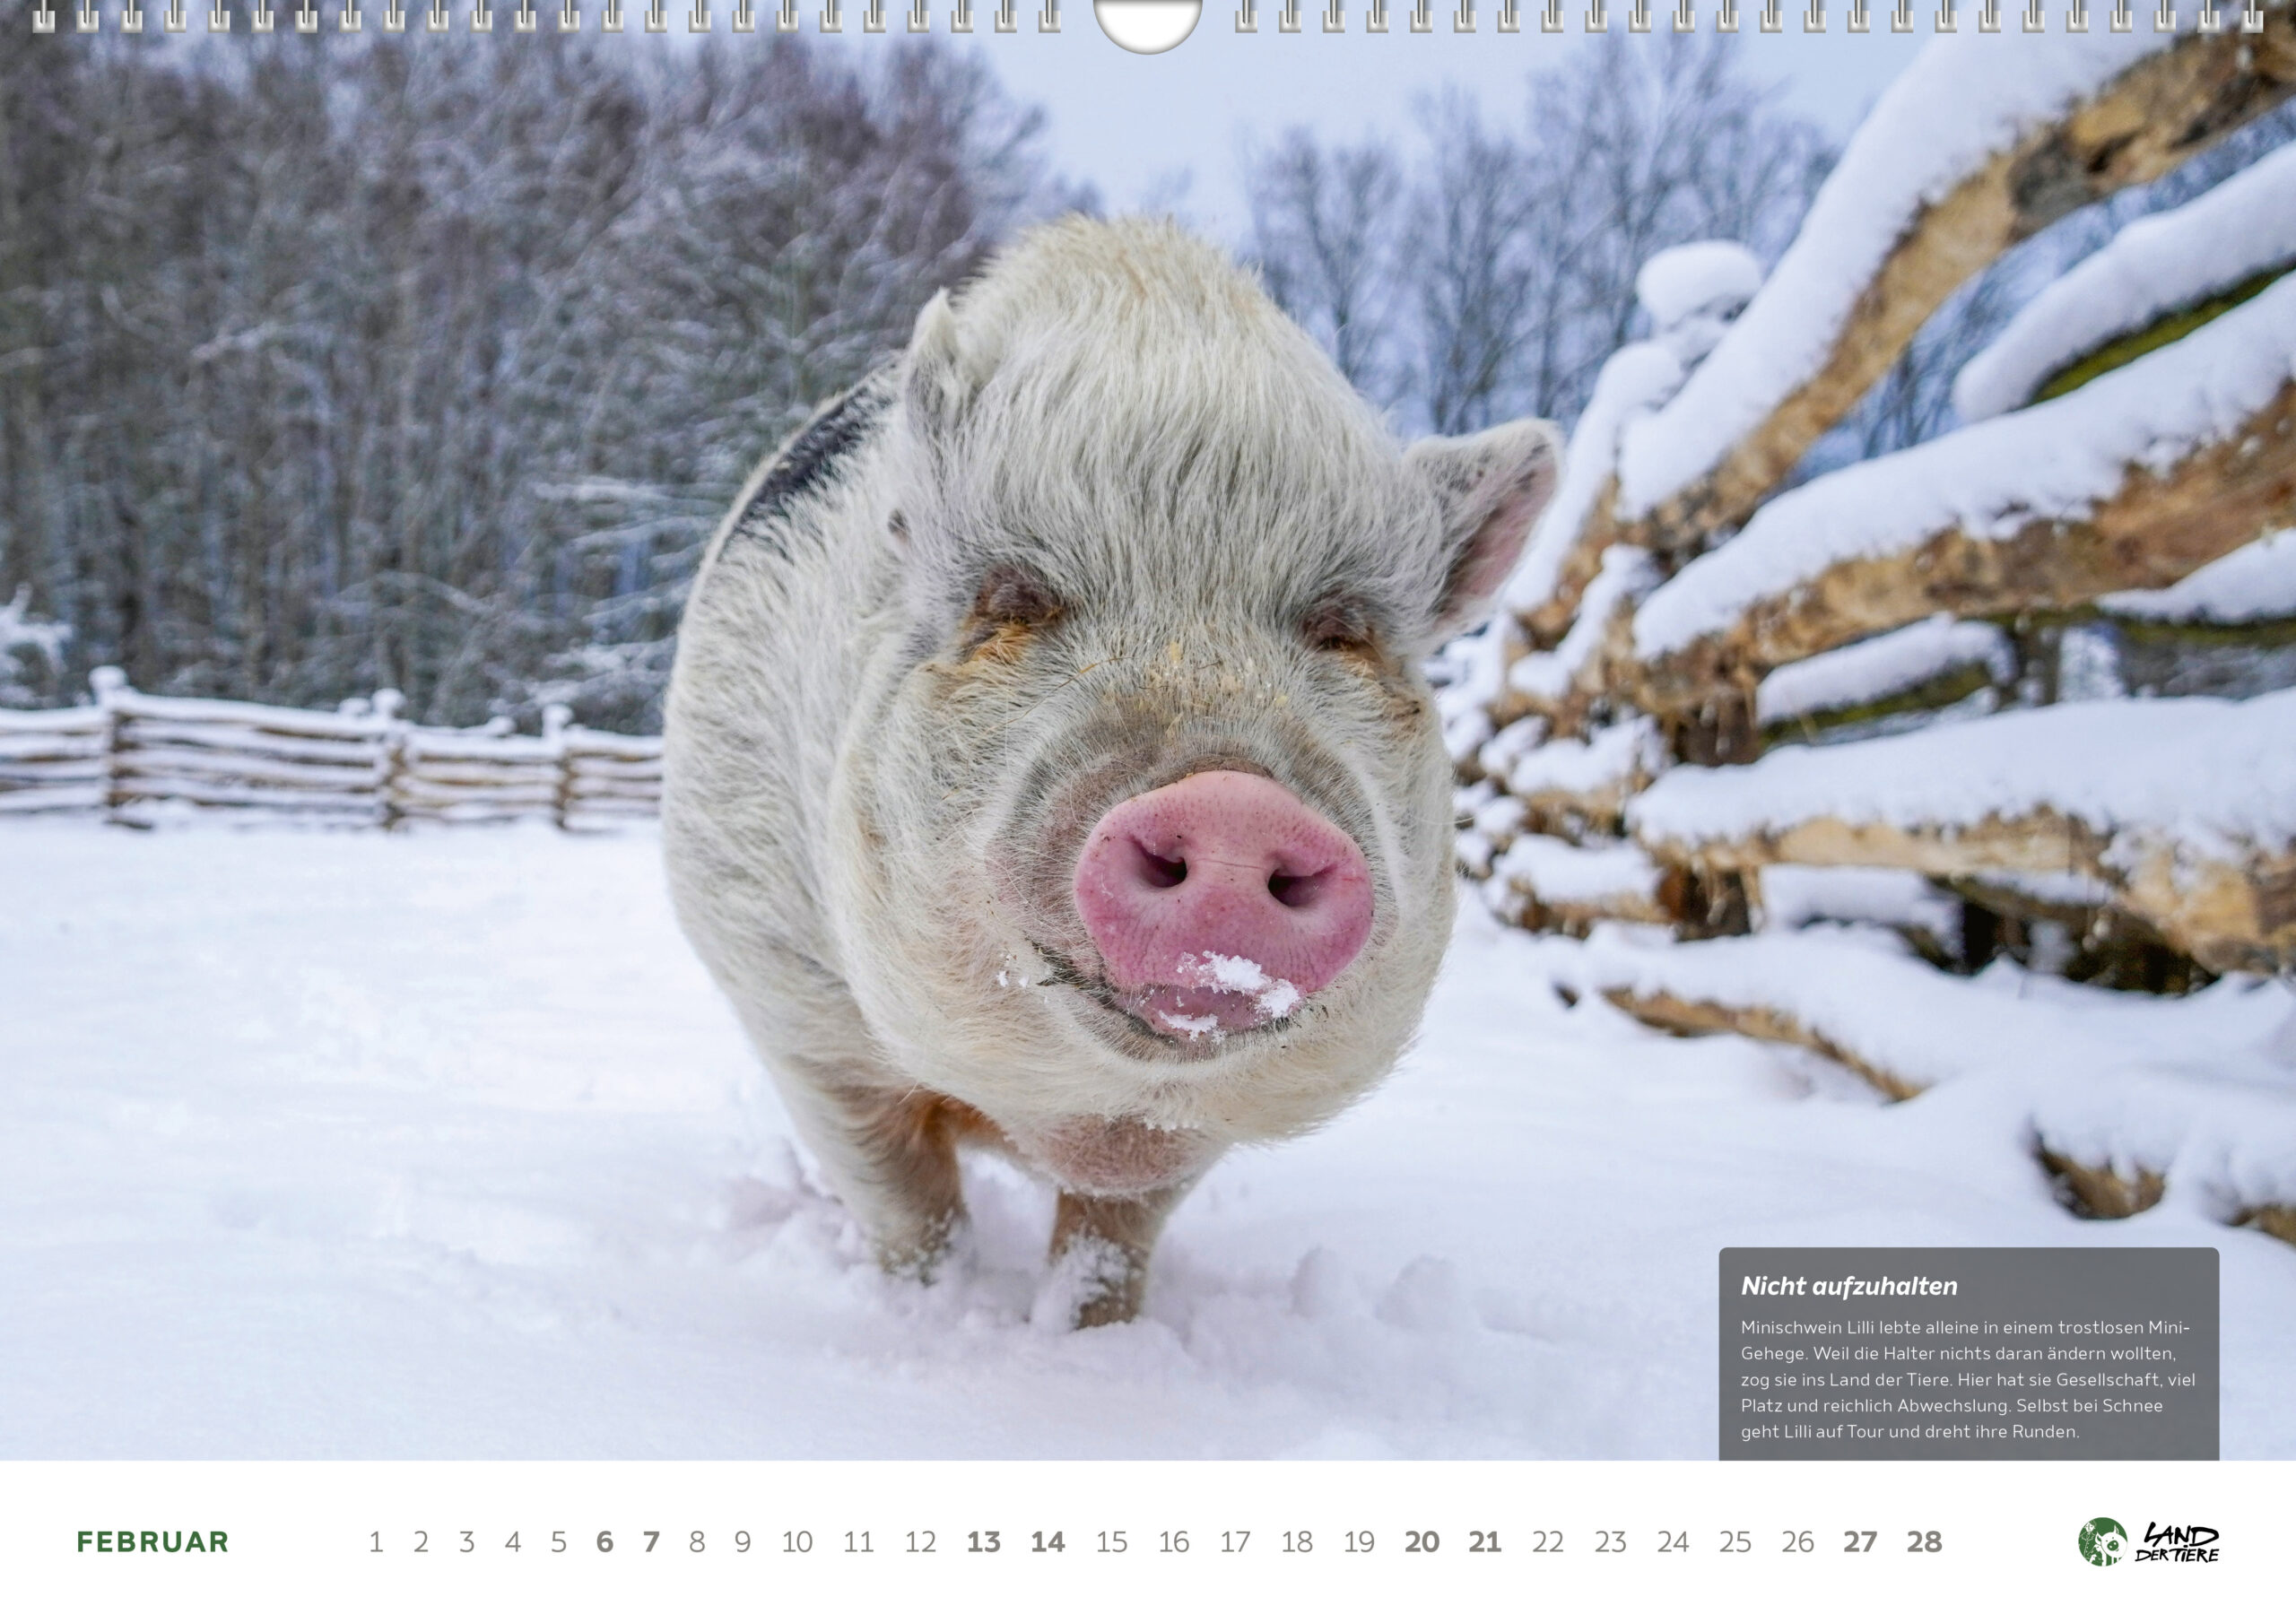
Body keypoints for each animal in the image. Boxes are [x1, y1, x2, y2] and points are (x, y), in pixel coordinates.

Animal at [662, 217, 1558, 1328]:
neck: (1066, 1118)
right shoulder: (796, 1010)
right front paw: (930, 1313)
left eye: (1343, 627)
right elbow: (907, 1204)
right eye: (1015, 592)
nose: (1232, 804)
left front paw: (1085, 1337)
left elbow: (1109, 1239)